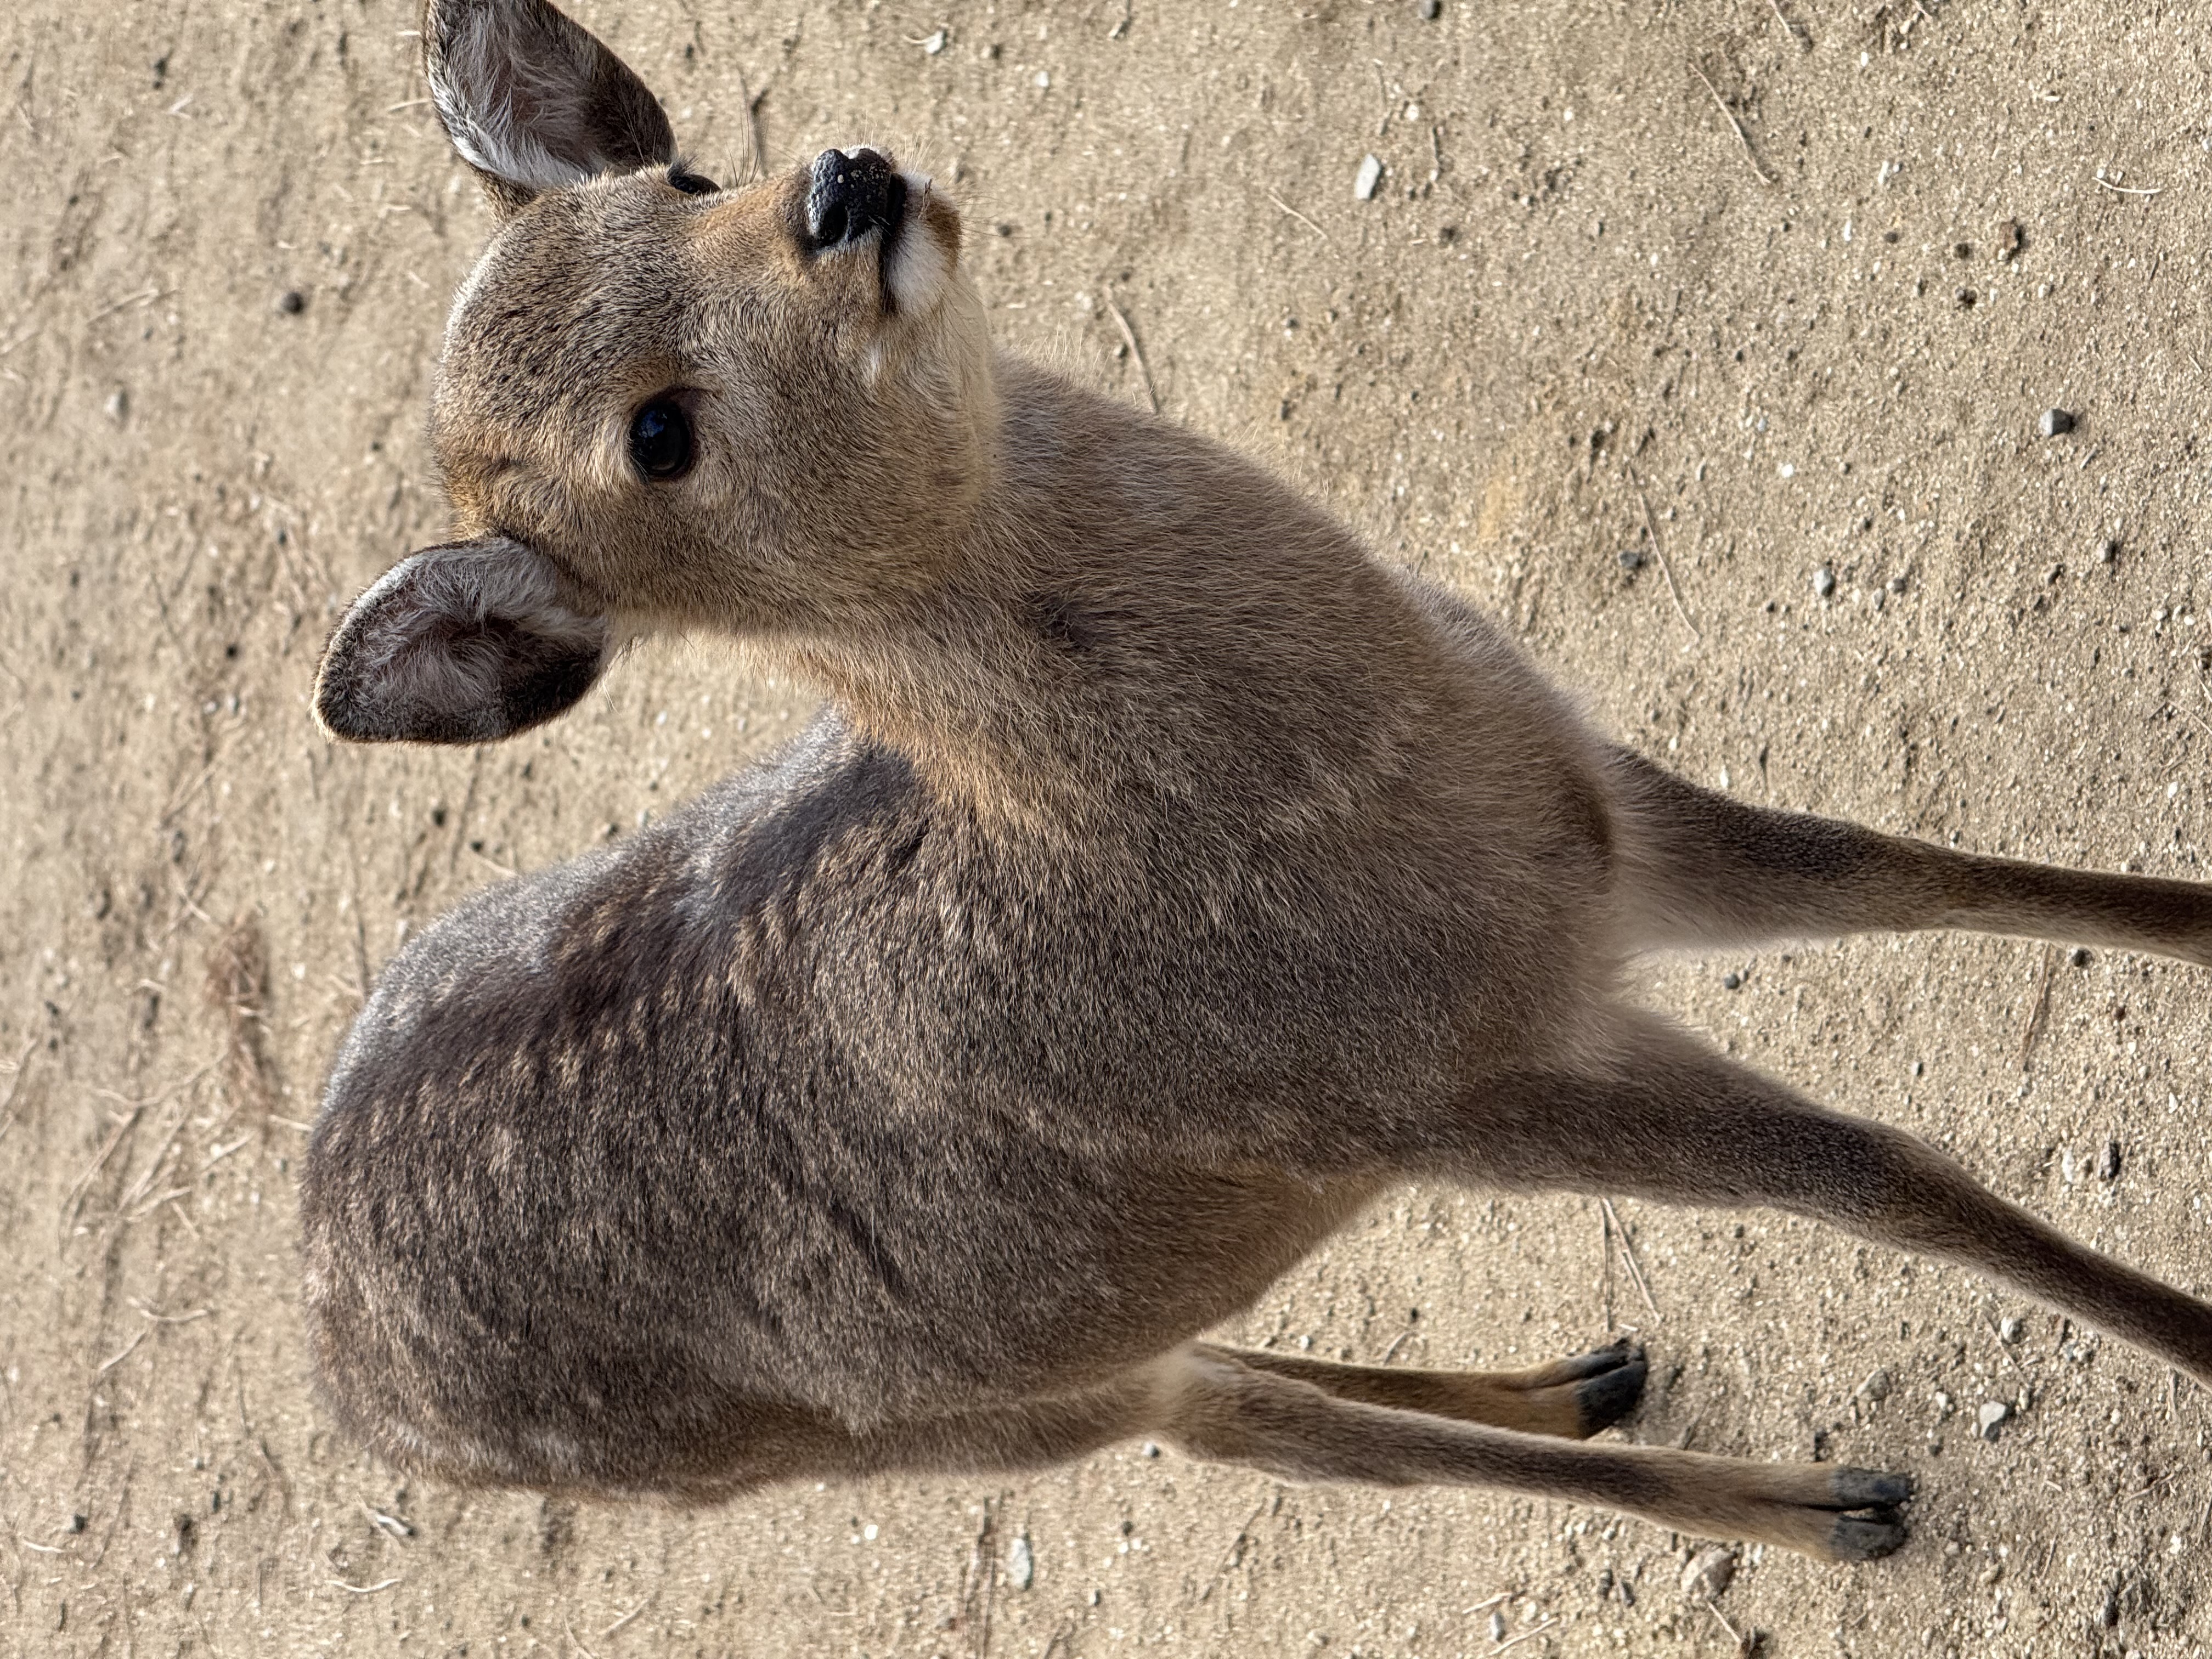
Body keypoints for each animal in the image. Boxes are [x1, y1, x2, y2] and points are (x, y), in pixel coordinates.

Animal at [301, 0, 2212, 1567]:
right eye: (659, 438)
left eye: (687, 170)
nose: (842, 187)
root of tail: (327, 1342)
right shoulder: (1431, 1097)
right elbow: (1888, 1177)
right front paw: (2196, 1345)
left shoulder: (1607, 834)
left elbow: (1922, 870)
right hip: (967, 1427)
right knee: (1274, 1441)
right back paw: (1827, 1505)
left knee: (1243, 1372)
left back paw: (1587, 1377)